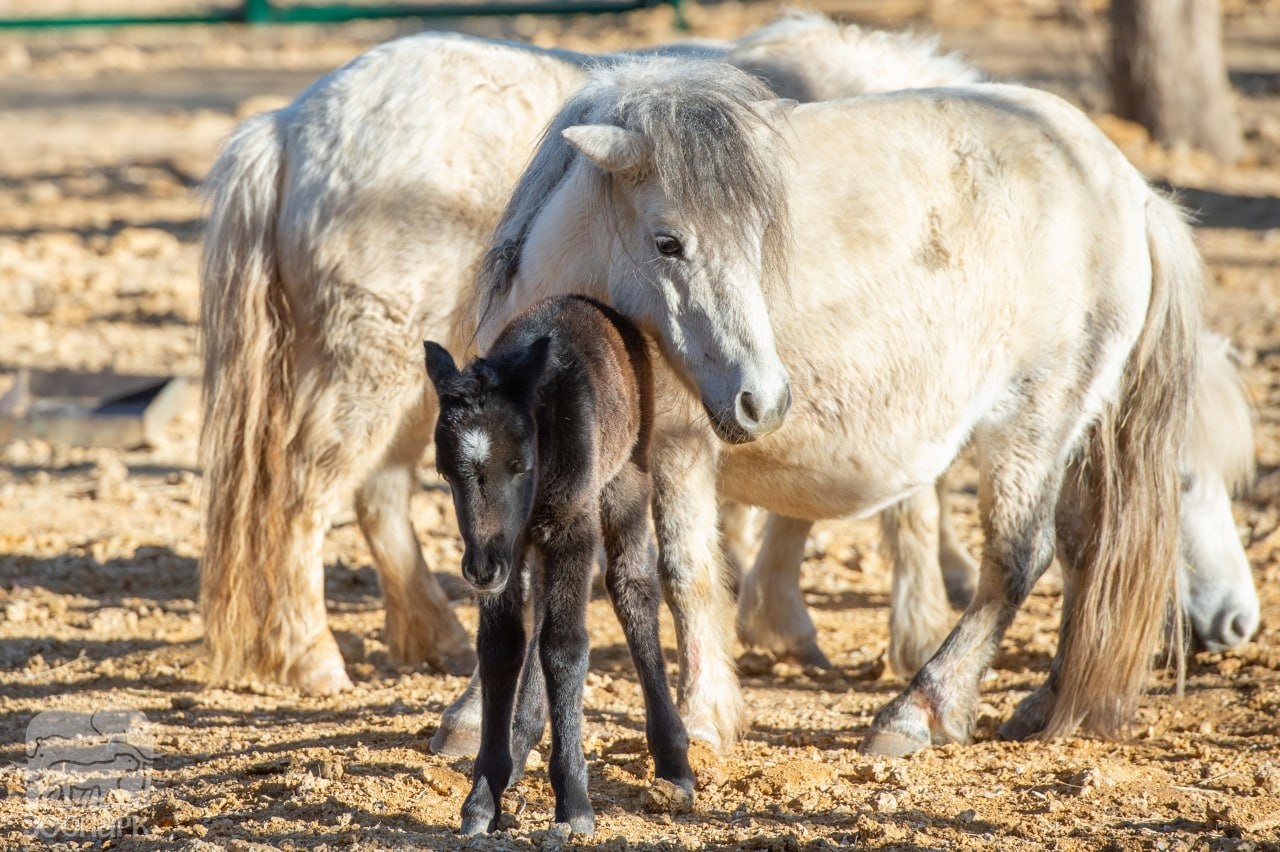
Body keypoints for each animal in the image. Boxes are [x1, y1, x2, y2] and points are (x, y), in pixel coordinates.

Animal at [424, 295, 696, 834]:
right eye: (445, 473)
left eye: (520, 465)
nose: (480, 571)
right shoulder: (506, 551)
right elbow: (501, 648)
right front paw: (483, 796)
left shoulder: (573, 530)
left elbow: (565, 648)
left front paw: (573, 804)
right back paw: (519, 747)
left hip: (627, 474)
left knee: (631, 588)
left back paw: (673, 762)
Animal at [476, 56, 1203, 752]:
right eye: (668, 243)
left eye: (758, 242)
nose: (762, 400)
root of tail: (1131, 191)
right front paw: (478, 726)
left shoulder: (681, 453)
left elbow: (686, 573)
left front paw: (704, 720)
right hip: (1074, 431)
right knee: (1086, 555)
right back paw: (1045, 704)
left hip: (1033, 423)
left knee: (1017, 561)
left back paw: (918, 709)